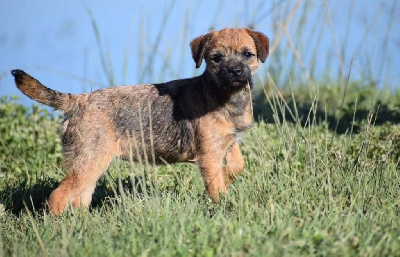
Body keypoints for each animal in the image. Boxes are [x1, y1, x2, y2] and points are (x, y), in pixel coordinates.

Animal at [11, 27, 268, 214]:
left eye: (247, 55)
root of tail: (78, 100)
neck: (222, 96)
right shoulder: (209, 156)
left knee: (79, 197)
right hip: (89, 160)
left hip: (90, 163)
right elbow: (216, 187)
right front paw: (224, 206)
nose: (235, 71)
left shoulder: (228, 142)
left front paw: (229, 177)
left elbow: (237, 164)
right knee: (59, 196)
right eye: (216, 58)